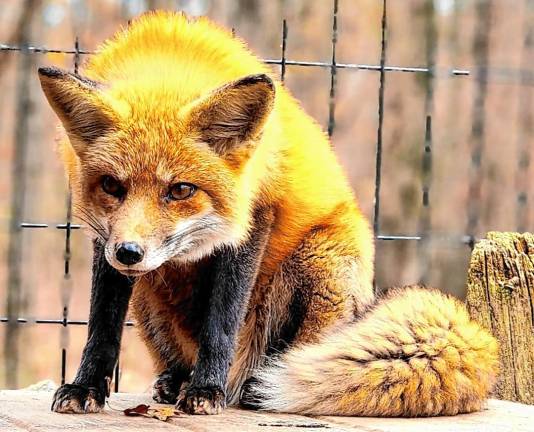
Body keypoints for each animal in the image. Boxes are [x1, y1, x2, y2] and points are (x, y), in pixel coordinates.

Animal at [38, 11, 502, 416]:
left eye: (181, 190)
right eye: (112, 187)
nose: (129, 253)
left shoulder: (256, 216)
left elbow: (222, 321)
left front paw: (207, 390)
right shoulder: (106, 238)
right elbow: (102, 323)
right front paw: (85, 387)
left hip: (320, 260)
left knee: (291, 353)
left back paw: (249, 386)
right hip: (151, 295)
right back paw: (177, 380)